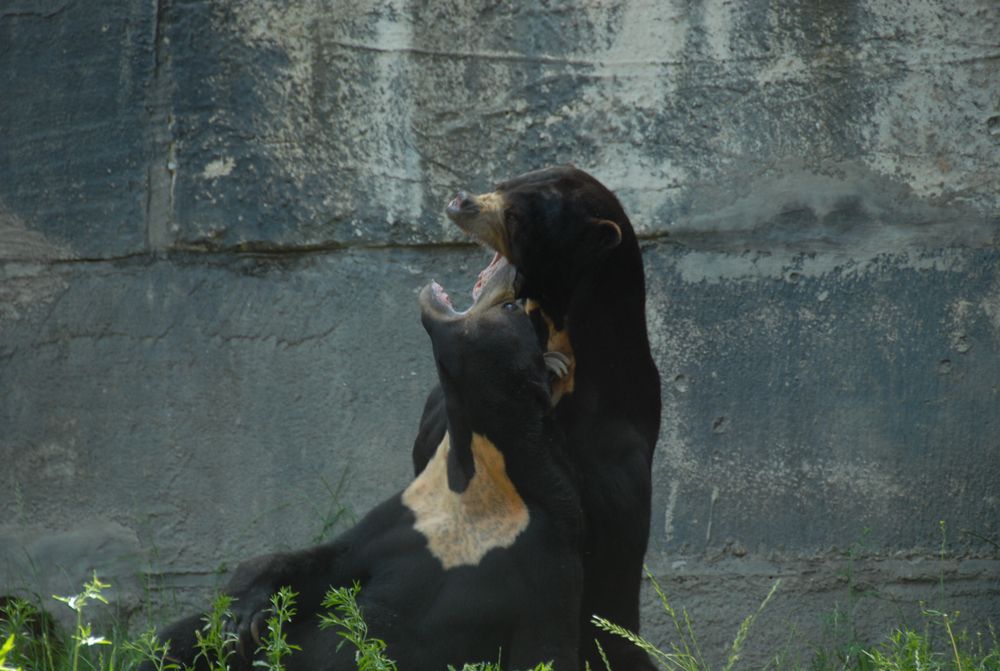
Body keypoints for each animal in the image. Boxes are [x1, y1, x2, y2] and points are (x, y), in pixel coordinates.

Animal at [146, 263, 583, 671]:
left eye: (510, 307)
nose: (515, 271)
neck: (474, 468)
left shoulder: (543, 551)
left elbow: (547, 642)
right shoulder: (407, 514)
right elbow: (329, 561)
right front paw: (242, 613)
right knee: (176, 640)